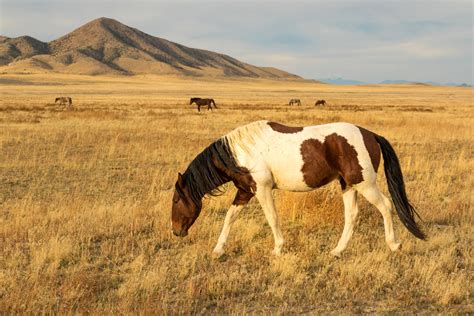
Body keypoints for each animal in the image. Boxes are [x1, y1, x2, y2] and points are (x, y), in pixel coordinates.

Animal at [171, 119, 426, 258]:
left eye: (176, 200)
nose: (176, 231)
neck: (239, 152)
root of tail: (370, 134)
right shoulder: (245, 191)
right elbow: (229, 218)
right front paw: (218, 250)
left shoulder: (262, 189)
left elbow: (272, 218)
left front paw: (277, 249)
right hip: (348, 185)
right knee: (352, 215)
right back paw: (337, 251)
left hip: (365, 184)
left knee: (386, 206)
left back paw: (394, 245)